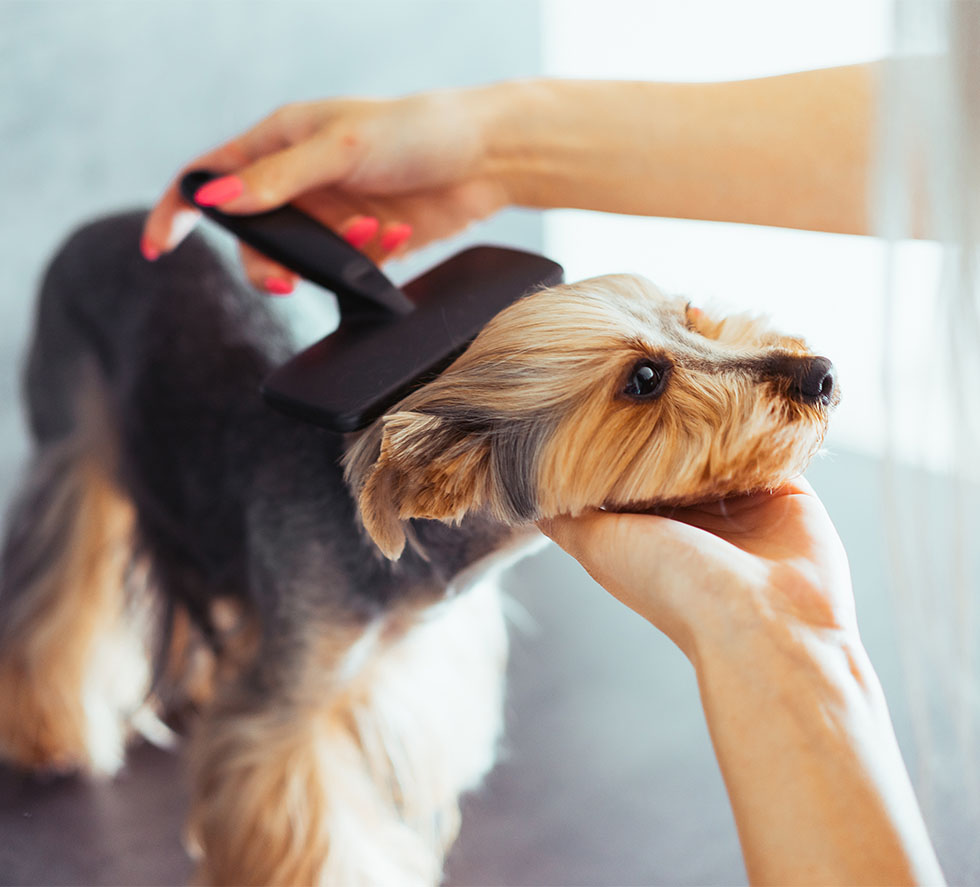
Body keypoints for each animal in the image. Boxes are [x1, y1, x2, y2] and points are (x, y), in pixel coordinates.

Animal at [0, 212, 840, 884]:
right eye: (643, 377)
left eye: (693, 316)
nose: (820, 373)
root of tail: (111, 223)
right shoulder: (288, 717)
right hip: (69, 424)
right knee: (55, 573)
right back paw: (44, 726)